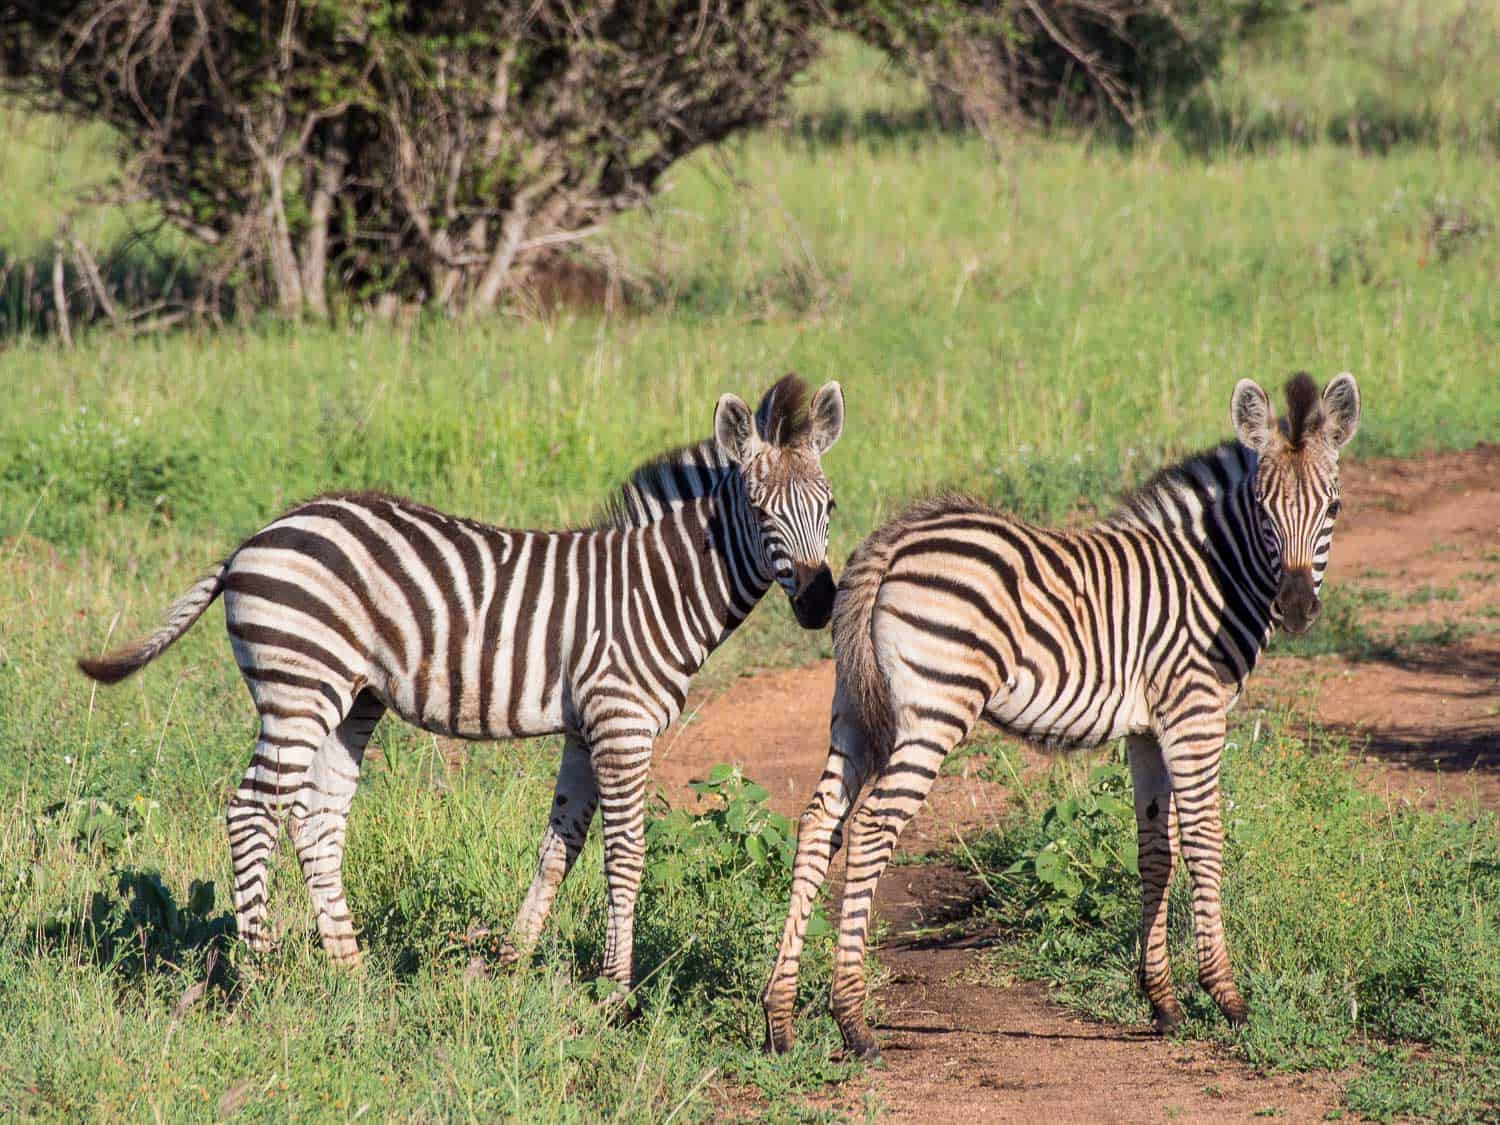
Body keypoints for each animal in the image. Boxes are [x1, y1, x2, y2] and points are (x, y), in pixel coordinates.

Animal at [82, 375, 852, 990]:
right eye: (759, 510)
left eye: (831, 505)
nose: (820, 602)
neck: (659, 588)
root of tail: (253, 539)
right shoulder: (620, 722)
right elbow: (626, 852)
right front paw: (617, 990)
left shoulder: (585, 728)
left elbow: (559, 846)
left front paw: (514, 961)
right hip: (298, 689)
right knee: (252, 810)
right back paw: (258, 977)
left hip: (351, 700)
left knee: (316, 817)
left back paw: (353, 974)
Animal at [768, 375, 1368, 1062]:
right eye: (1265, 513)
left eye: (1333, 508)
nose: (1295, 610)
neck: (1212, 578)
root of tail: (892, 540)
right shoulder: (1193, 711)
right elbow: (1204, 841)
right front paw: (1227, 998)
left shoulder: (1146, 731)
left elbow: (1155, 851)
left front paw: (1162, 1003)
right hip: (936, 711)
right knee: (870, 828)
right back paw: (853, 1022)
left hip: (853, 708)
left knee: (819, 823)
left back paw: (779, 1021)